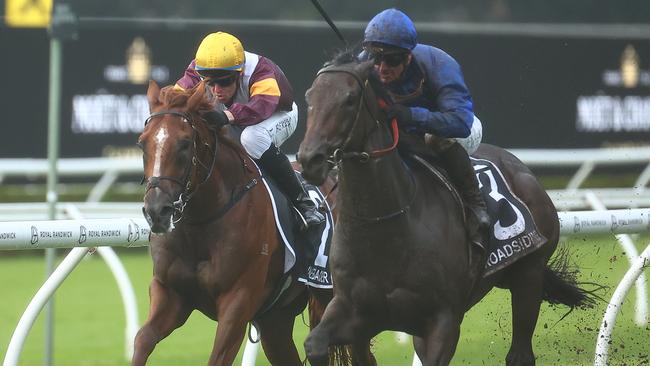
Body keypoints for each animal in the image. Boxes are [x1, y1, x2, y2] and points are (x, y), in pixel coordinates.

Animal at [133, 81, 364, 364]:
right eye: (142, 143)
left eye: (185, 143)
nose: (157, 210)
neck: (201, 222)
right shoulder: (170, 292)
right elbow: (143, 339)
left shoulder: (238, 300)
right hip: (276, 321)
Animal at [296, 55, 596, 366]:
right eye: (310, 97)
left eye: (349, 99)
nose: (309, 159)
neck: (386, 225)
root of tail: (524, 171)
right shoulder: (355, 312)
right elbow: (315, 344)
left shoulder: (442, 322)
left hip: (529, 276)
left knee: (520, 354)